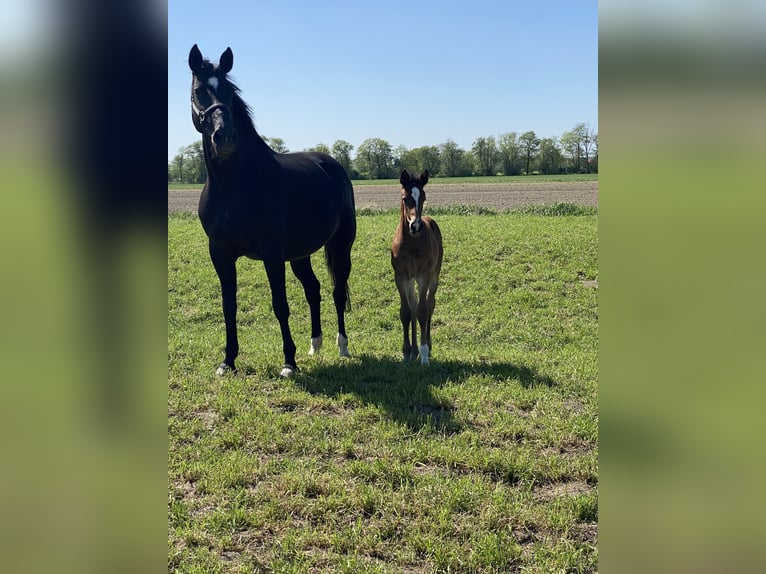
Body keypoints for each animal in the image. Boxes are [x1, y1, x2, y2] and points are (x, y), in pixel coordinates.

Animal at [189, 45, 356, 378]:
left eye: (229, 92)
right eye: (200, 90)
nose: (224, 137)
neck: (233, 186)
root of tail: (332, 164)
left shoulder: (271, 252)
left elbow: (280, 305)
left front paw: (288, 362)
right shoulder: (220, 253)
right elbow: (228, 305)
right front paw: (228, 360)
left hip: (340, 245)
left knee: (336, 290)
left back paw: (341, 345)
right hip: (300, 253)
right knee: (313, 289)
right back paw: (314, 345)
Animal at [390, 169, 444, 364]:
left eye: (423, 197)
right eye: (405, 198)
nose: (415, 226)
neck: (410, 243)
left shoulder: (424, 275)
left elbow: (422, 311)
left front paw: (424, 354)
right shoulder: (401, 276)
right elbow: (406, 311)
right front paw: (406, 353)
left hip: (434, 275)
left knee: (429, 304)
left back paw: (426, 346)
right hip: (410, 279)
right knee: (413, 304)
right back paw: (413, 351)